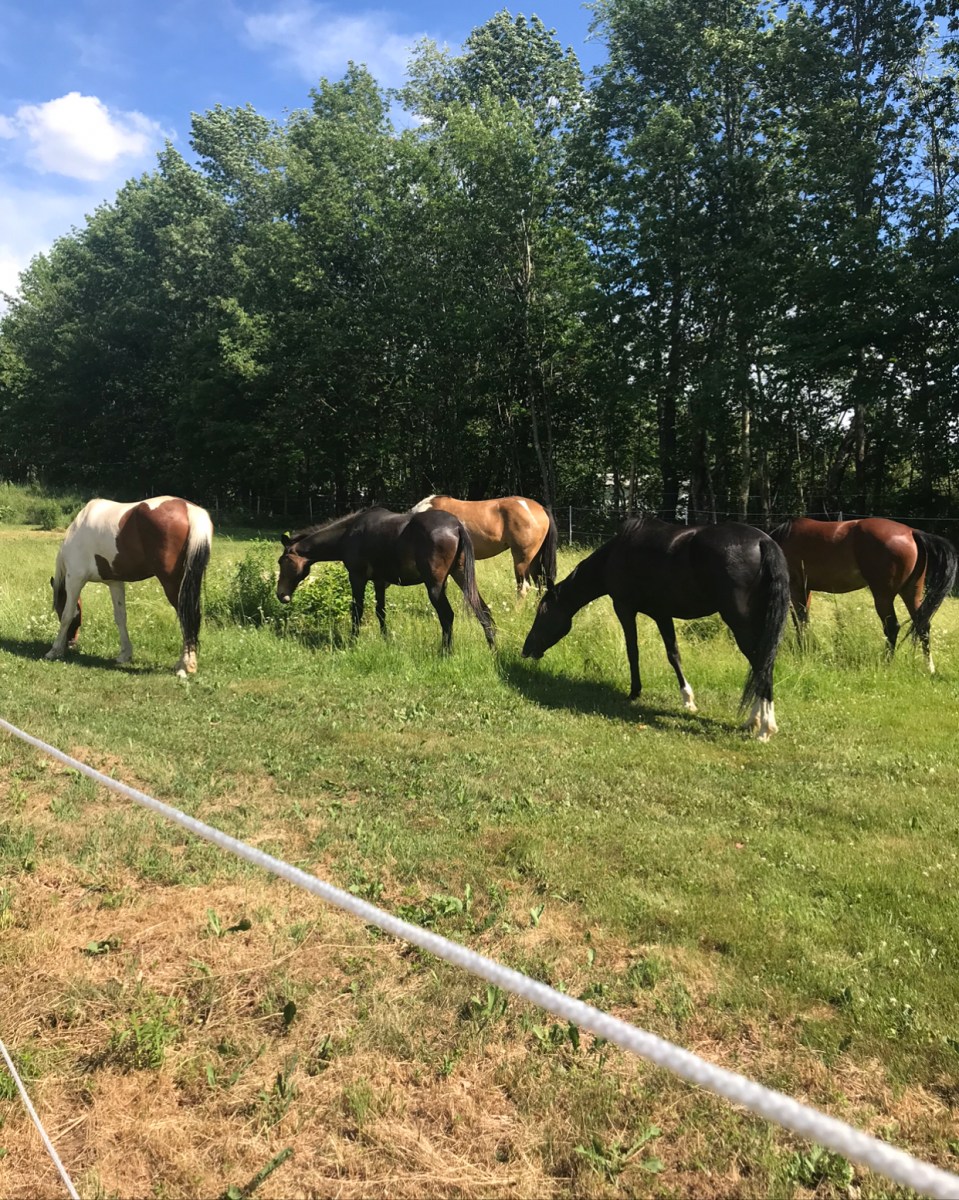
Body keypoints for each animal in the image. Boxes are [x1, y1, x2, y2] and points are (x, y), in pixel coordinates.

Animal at [46, 496, 213, 676]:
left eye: (57, 608)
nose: (71, 642)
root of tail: (189, 509)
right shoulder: (115, 583)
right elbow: (120, 617)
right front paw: (125, 654)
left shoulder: (75, 579)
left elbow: (67, 615)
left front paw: (54, 650)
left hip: (173, 584)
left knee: (187, 617)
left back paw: (185, 665)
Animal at [277, 507, 496, 652]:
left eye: (282, 561)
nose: (281, 595)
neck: (349, 533)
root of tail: (457, 526)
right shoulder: (379, 581)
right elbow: (380, 611)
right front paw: (385, 639)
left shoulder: (357, 578)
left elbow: (357, 611)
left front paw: (352, 643)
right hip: (461, 576)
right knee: (483, 610)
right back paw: (492, 648)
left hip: (435, 586)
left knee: (447, 616)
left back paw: (445, 652)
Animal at [522, 514, 791, 739]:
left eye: (543, 614)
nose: (526, 650)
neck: (616, 554)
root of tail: (763, 542)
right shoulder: (662, 614)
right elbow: (673, 654)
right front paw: (688, 700)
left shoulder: (624, 608)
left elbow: (633, 651)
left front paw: (634, 692)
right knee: (762, 664)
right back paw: (754, 721)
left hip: (741, 623)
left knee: (760, 663)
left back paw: (765, 728)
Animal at [769, 516, 958, 670]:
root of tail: (911, 532)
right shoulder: (805, 589)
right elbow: (804, 621)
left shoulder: (796, 588)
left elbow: (799, 621)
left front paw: (803, 650)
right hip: (912, 593)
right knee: (923, 625)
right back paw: (929, 668)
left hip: (883, 597)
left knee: (892, 627)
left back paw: (886, 663)